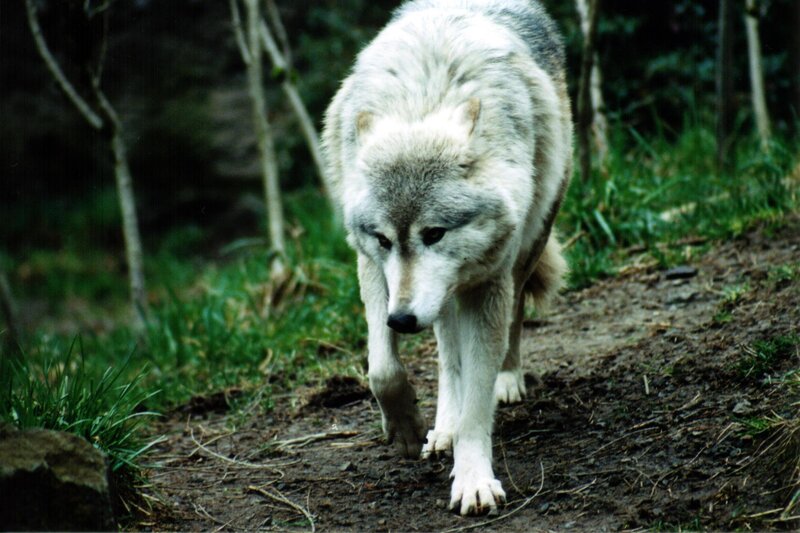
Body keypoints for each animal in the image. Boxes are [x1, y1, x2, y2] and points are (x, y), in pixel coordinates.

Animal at [322, 0, 572, 516]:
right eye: (384, 239)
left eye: (434, 233)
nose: (401, 320)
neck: (423, 98)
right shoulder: (372, 270)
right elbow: (383, 370)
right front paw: (409, 429)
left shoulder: (488, 283)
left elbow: (478, 400)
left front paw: (474, 479)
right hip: (439, 296)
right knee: (446, 359)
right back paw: (443, 427)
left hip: (523, 250)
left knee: (514, 319)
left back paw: (507, 380)